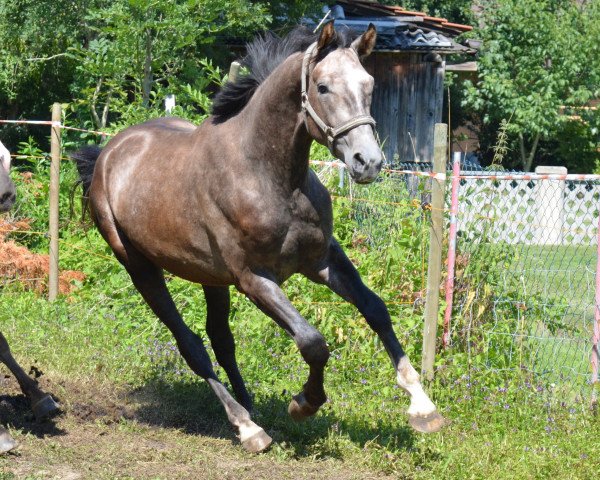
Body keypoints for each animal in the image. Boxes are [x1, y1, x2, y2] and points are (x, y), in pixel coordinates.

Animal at [72, 22, 442, 452]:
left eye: (369, 85)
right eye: (323, 87)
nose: (367, 163)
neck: (269, 176)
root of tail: (108, 153)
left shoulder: (322, 259)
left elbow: (375, 309)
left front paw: (422, 405)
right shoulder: (254, 279)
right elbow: (312, 342)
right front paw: (303, 403)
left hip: (210, 277)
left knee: (220, 338)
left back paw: (250, 406)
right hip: (139, 267)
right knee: (191, 345)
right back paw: (247, 427)